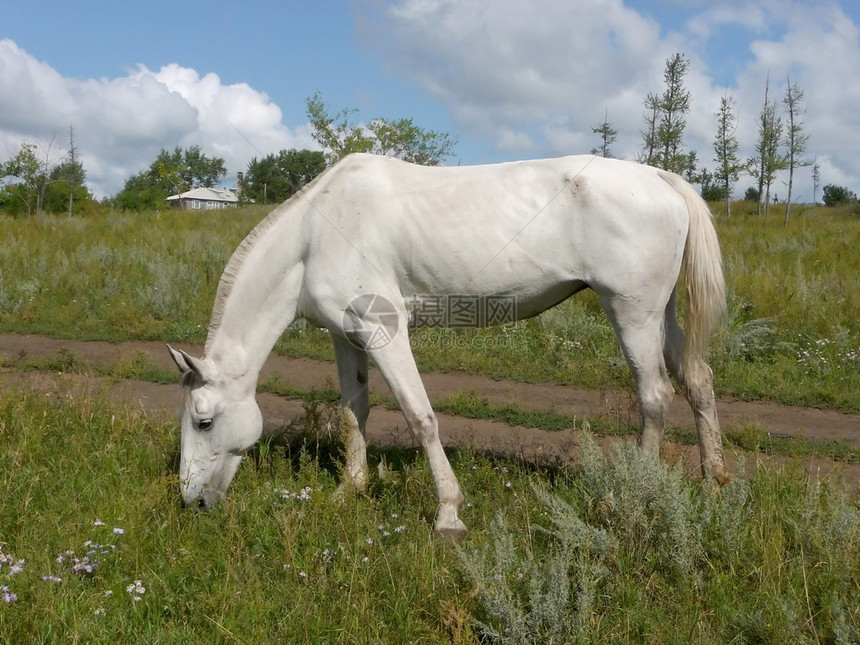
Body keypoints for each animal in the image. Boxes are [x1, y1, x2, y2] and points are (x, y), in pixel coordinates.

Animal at [170, 153, 724, 536]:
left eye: (203, 421)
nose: (191, 501)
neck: (314, 233)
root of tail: (659, 177)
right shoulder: (345, 337)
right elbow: (354, 412)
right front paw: (350, 489)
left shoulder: (385, 330)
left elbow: (421, 416)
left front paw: (448, 514)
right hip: (660, 316)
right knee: (697, 380)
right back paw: (715, 481)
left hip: (632, 313)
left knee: (654, 395)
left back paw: (634, 494)